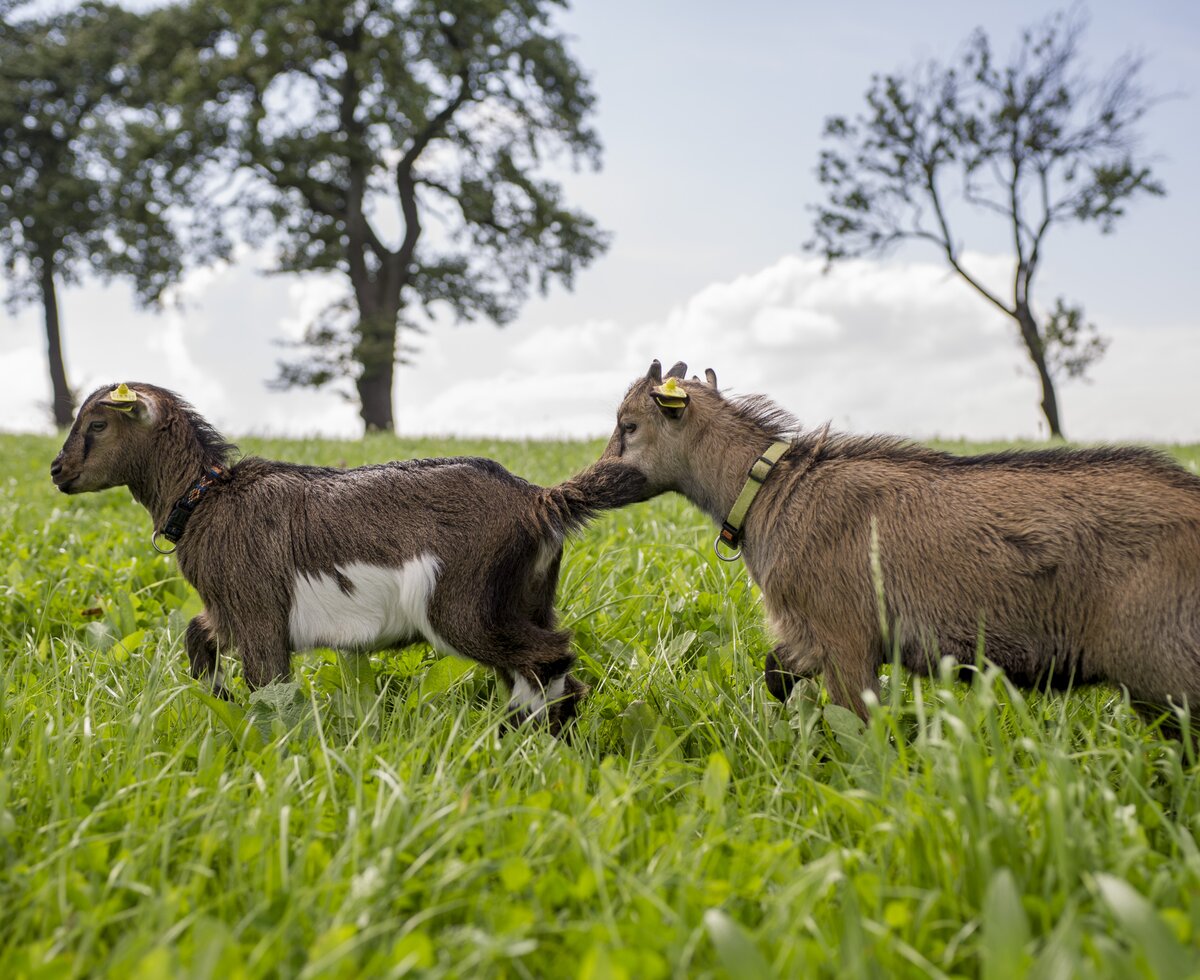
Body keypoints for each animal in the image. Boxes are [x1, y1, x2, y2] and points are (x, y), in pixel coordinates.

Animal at [49, 379, 648, 729]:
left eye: (98, 424)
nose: (57, 471)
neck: (206, 498)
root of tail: (538, 501)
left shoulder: (257, 610)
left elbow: (270, 685)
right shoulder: (226, 608)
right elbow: (197, 636)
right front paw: (217, 699)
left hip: (462, 604)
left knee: (549, 657)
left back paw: (518, 737)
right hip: (527, 597)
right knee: (547, 668)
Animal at [604, 357, 1200, 719]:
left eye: (628, 425)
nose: (599, 476)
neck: (774, 488)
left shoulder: (845, 634)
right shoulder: (806, 635)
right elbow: (777, 672)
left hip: (1167, 669)